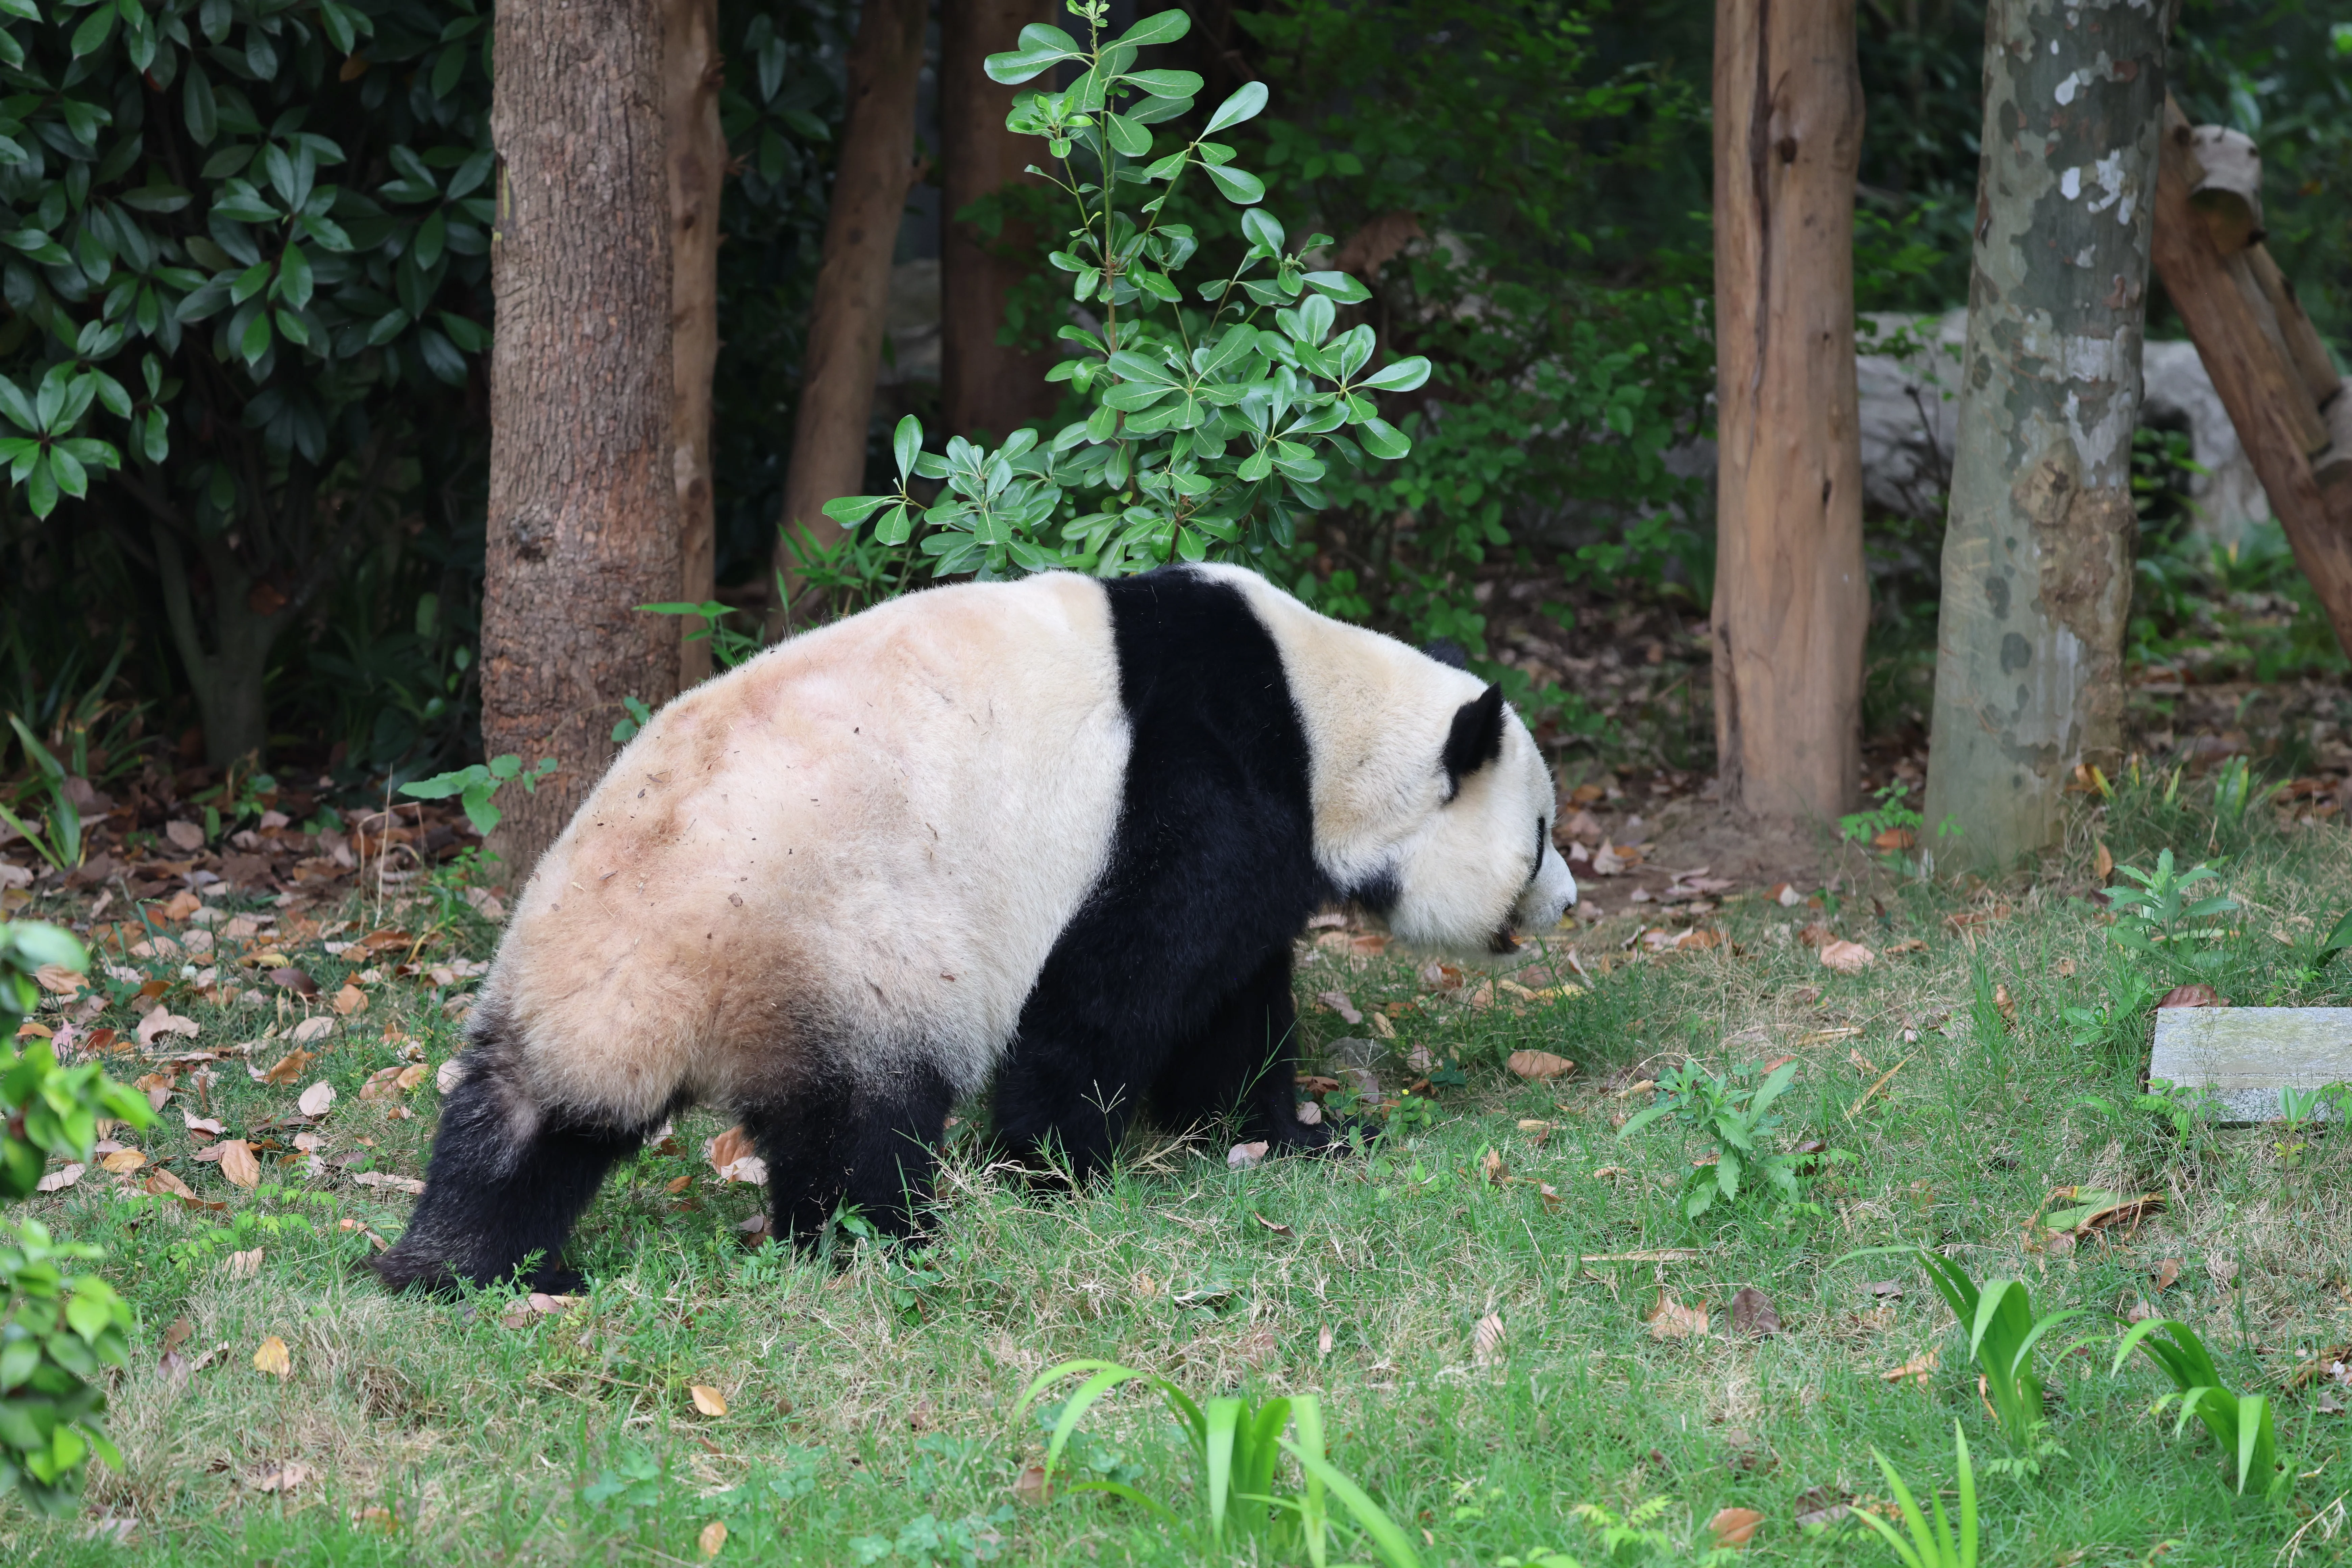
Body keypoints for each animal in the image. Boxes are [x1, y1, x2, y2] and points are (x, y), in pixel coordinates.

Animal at [375, 563, 1576, 1292]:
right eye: (1542, 831)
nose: (1566, 902)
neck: (1325, 719)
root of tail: (668, 977)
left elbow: (1234, 1006)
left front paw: (1290, 1134)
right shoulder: (1204, 778)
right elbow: (1119, 988)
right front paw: (1060, 1170)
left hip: (583, 967)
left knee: (529, 1120)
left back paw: (463, 1264)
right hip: (845, 932)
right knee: (864, 1112)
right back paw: (886, 1240)